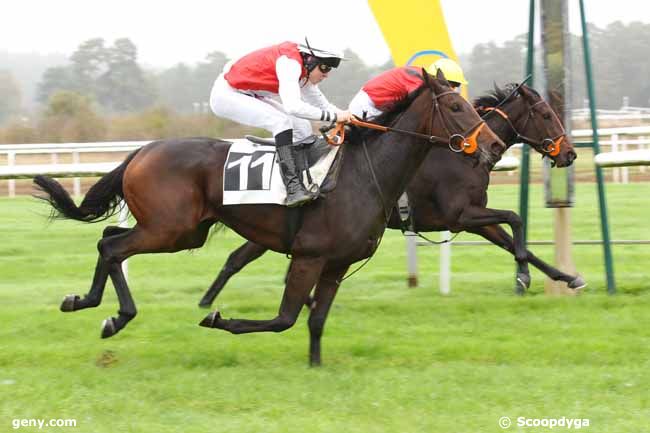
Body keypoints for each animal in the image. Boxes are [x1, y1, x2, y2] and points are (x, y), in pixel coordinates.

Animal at [33, 71, 504, 364]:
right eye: (456, 107)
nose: (494, 146)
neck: (363, 173)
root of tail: (142, 150)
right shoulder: (310, 256)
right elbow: (284, 319)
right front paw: (217, 317)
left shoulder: (337, 263)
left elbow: (315, 320)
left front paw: (315, 367)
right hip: (170, 229)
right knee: (112, 245)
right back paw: (114, 316)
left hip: (180, 231)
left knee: (110, 236)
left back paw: (86, 301)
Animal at [197, 83, 584, 308]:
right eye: (546, 114)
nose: (570, 154)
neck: (460, 153)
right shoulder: (460, 214)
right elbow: (516, 221)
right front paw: (524, 278)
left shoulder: (473, 217)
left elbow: (514, 242)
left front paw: (564, 277)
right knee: (238, 258)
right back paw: (209, 301)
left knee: (238, 257)